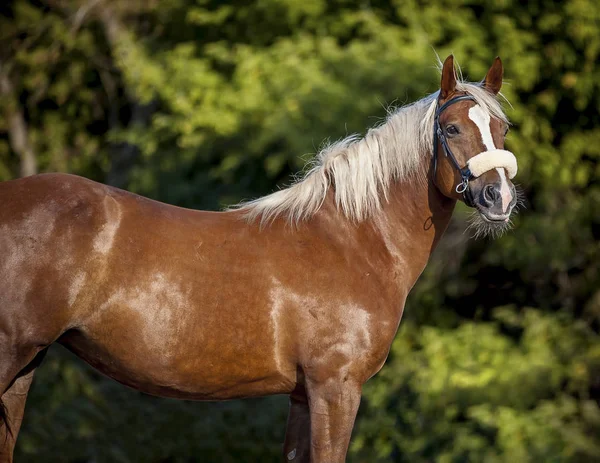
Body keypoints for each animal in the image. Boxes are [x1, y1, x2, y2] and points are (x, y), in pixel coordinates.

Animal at [0, 55, 516, 463]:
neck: (354, 240)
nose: (500, 197)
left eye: (502, 129)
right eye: (451, 128)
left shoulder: (303, 397)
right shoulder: (336, 387)